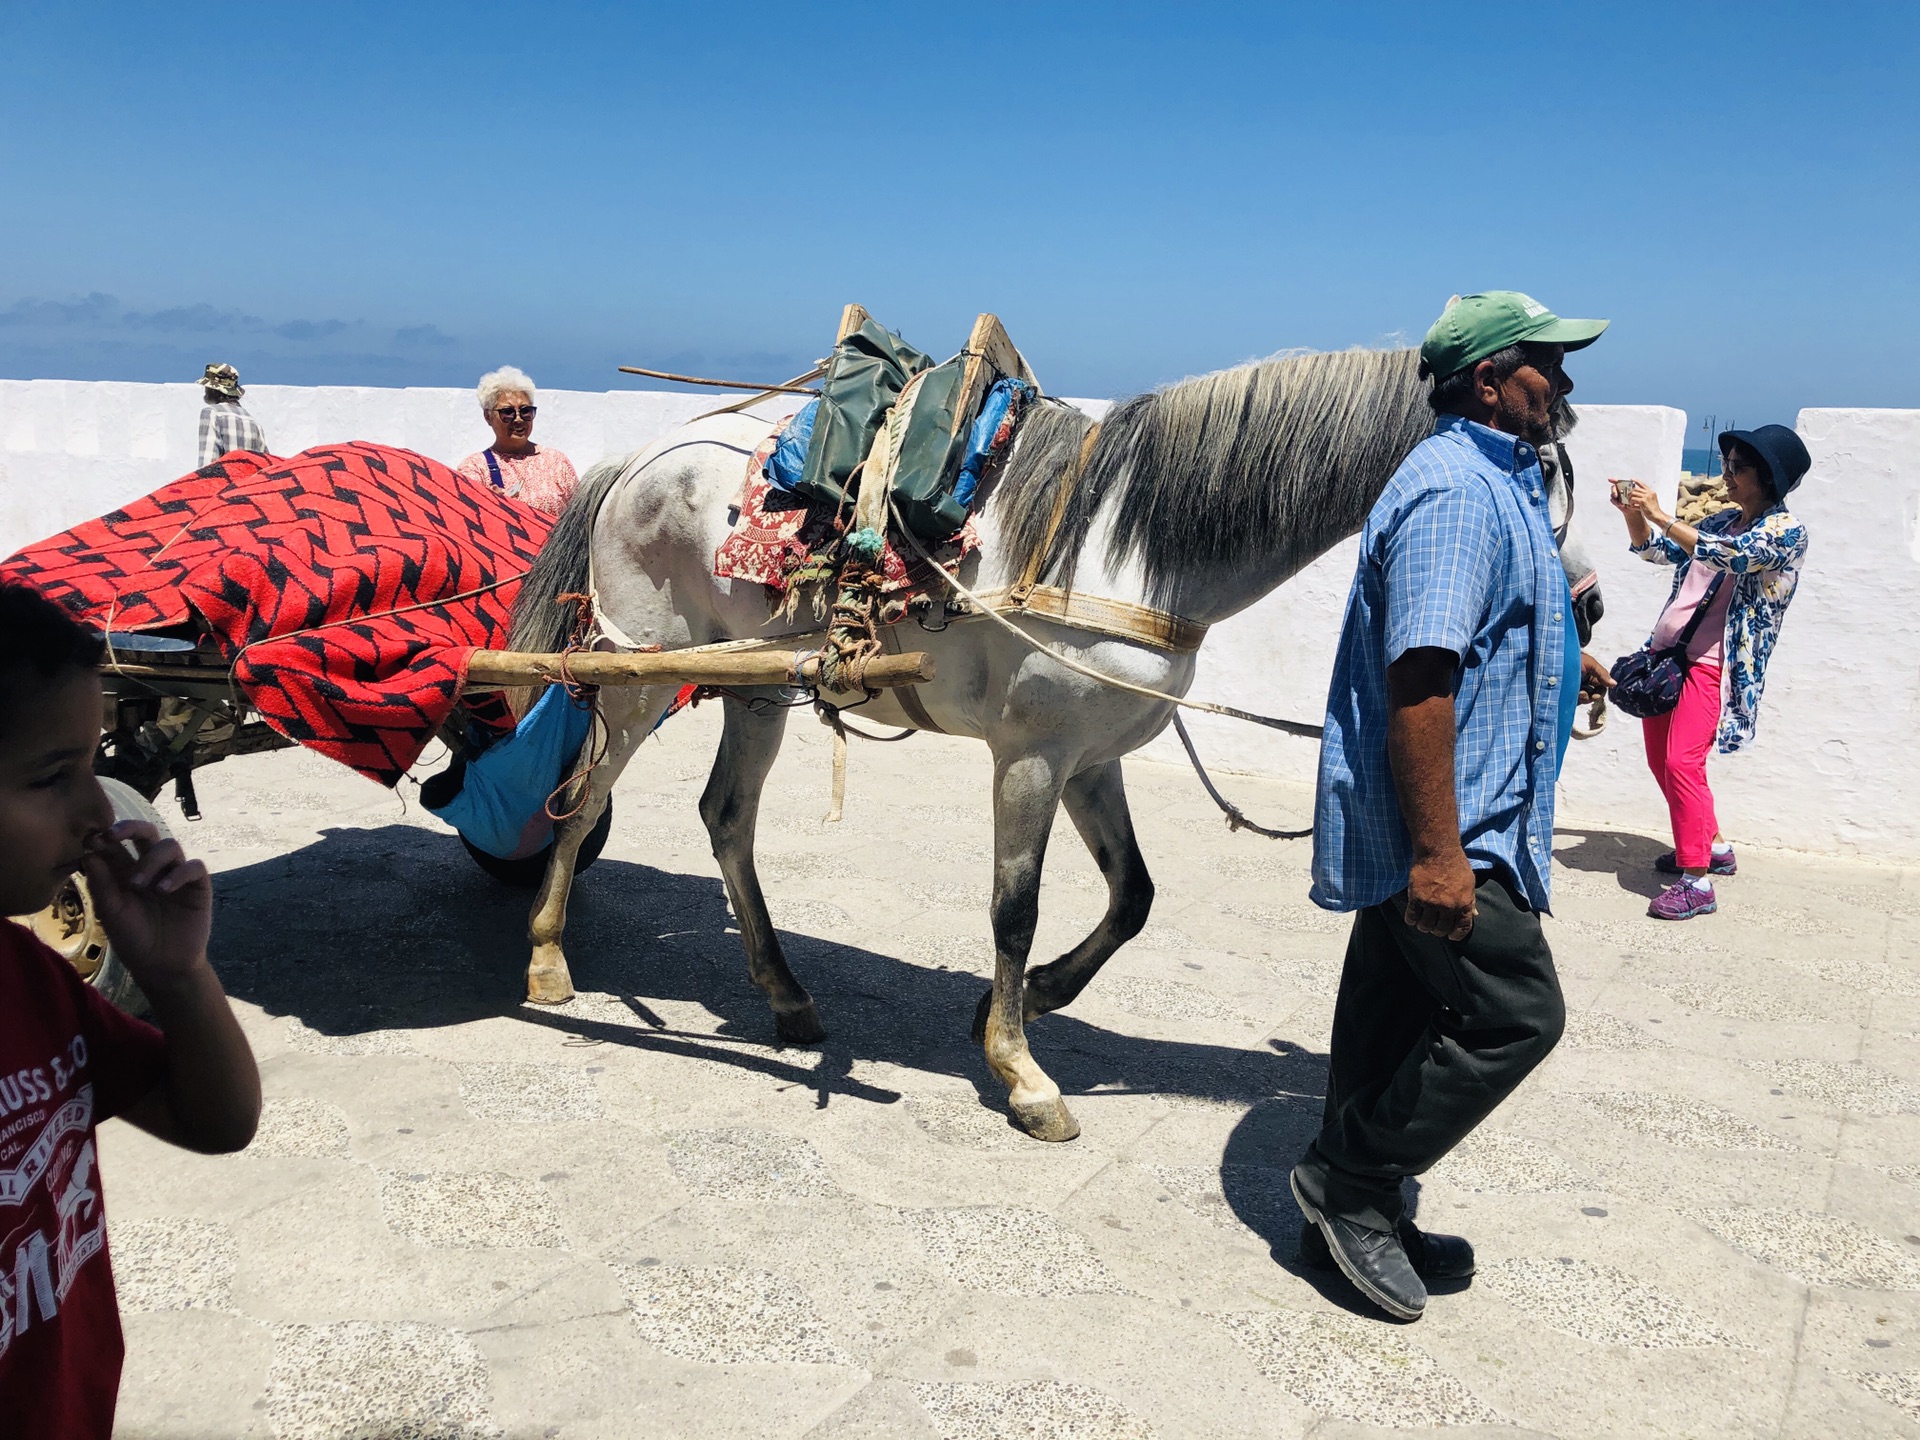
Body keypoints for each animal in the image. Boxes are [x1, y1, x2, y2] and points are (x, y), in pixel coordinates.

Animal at [506, 343, 1559, 1144]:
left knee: (725, 815)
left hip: (756, 689)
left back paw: (786, 996)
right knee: (585, 797)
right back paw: (549, 958)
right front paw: (1022, 1072)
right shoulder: (1032, 758)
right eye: (1540, 471)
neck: (1130, 550)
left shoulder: (1093, 759)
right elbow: (1015, 909)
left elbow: (1133, 896)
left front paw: (1032, 999)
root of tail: (635, 462)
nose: (1579, 609)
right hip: (640, 676)